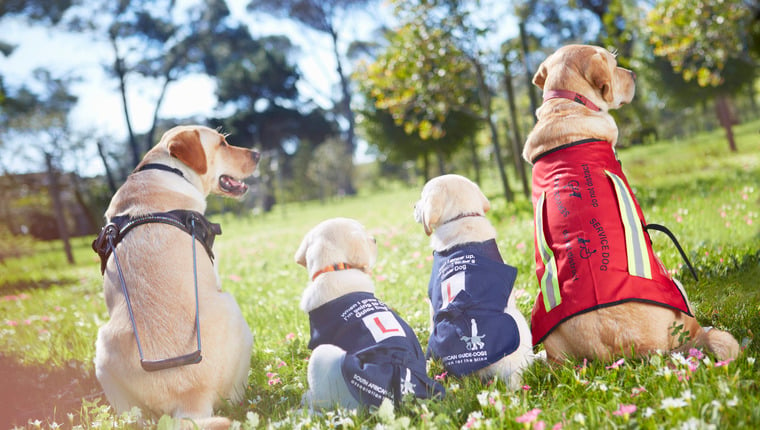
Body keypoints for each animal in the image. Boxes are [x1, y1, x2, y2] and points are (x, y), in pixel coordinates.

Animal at [93, 126, 260, 428]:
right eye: (222, 143)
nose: (258, 154)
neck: (167, 170)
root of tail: (190, 402)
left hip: (101, 353)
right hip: (233, 309)